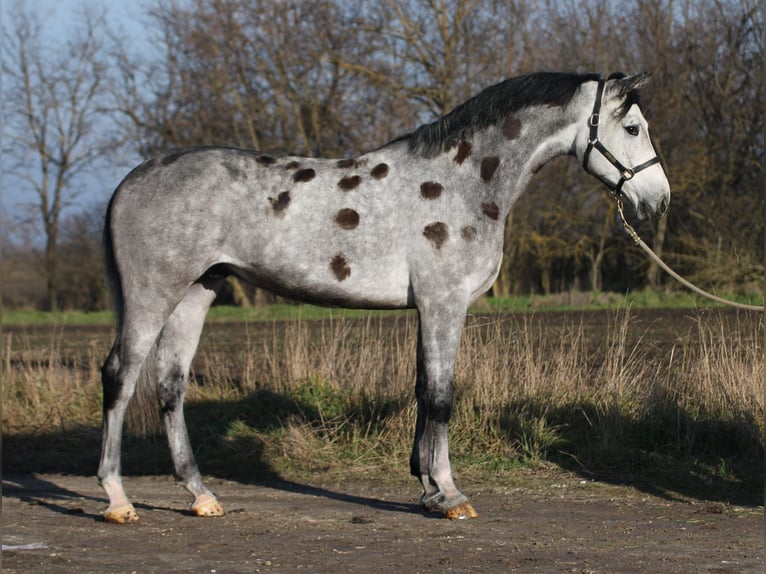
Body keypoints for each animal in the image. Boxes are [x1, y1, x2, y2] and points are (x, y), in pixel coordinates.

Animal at [97, 70, 672, 524]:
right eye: (633, 127)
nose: (659, 200)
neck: (464, 181)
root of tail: (130, 181)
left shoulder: (429, 308)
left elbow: (422, 391)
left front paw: (427, 489)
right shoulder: (444, 303)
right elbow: (441, 397)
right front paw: (451, 496)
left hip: (198, 290)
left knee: (170, 384)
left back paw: (201, 496)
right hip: (153, 294)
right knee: (120, 376)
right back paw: (118, 499)